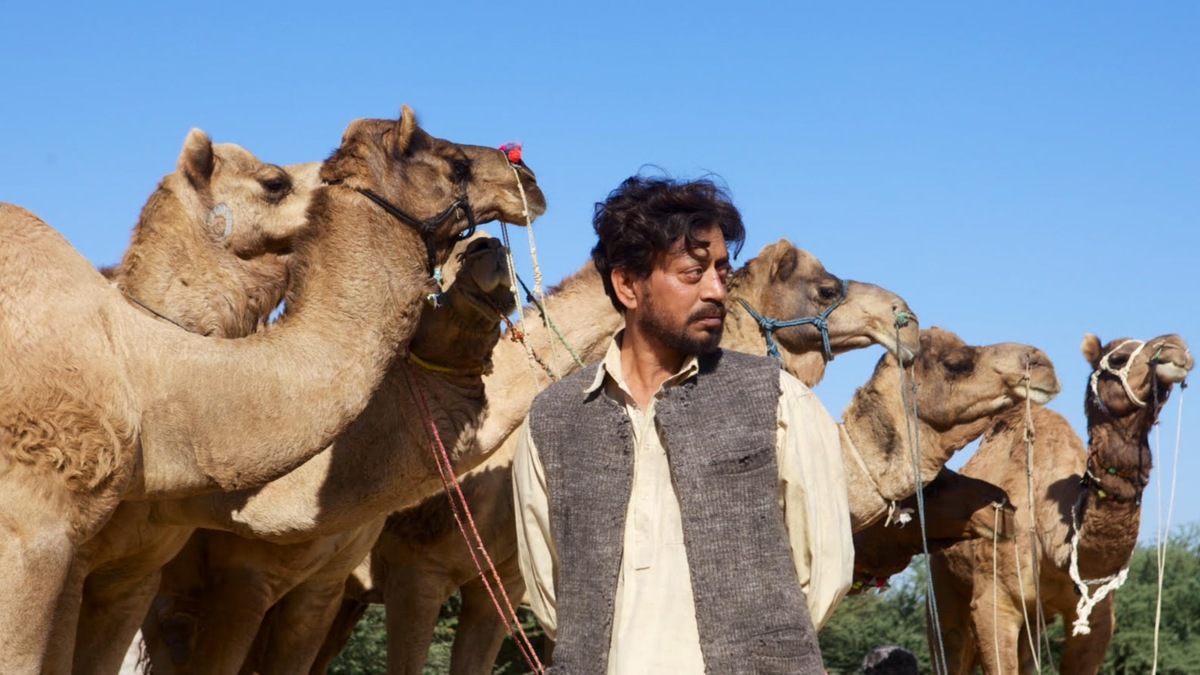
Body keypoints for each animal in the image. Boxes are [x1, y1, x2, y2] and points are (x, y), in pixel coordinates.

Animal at [929, 333, 1193, 675]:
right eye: (1118, 358)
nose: (1176, 346)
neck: (1052, 544)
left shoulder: (1097, 612)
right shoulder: (994, 603)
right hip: (941, 586)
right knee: (949, 641)